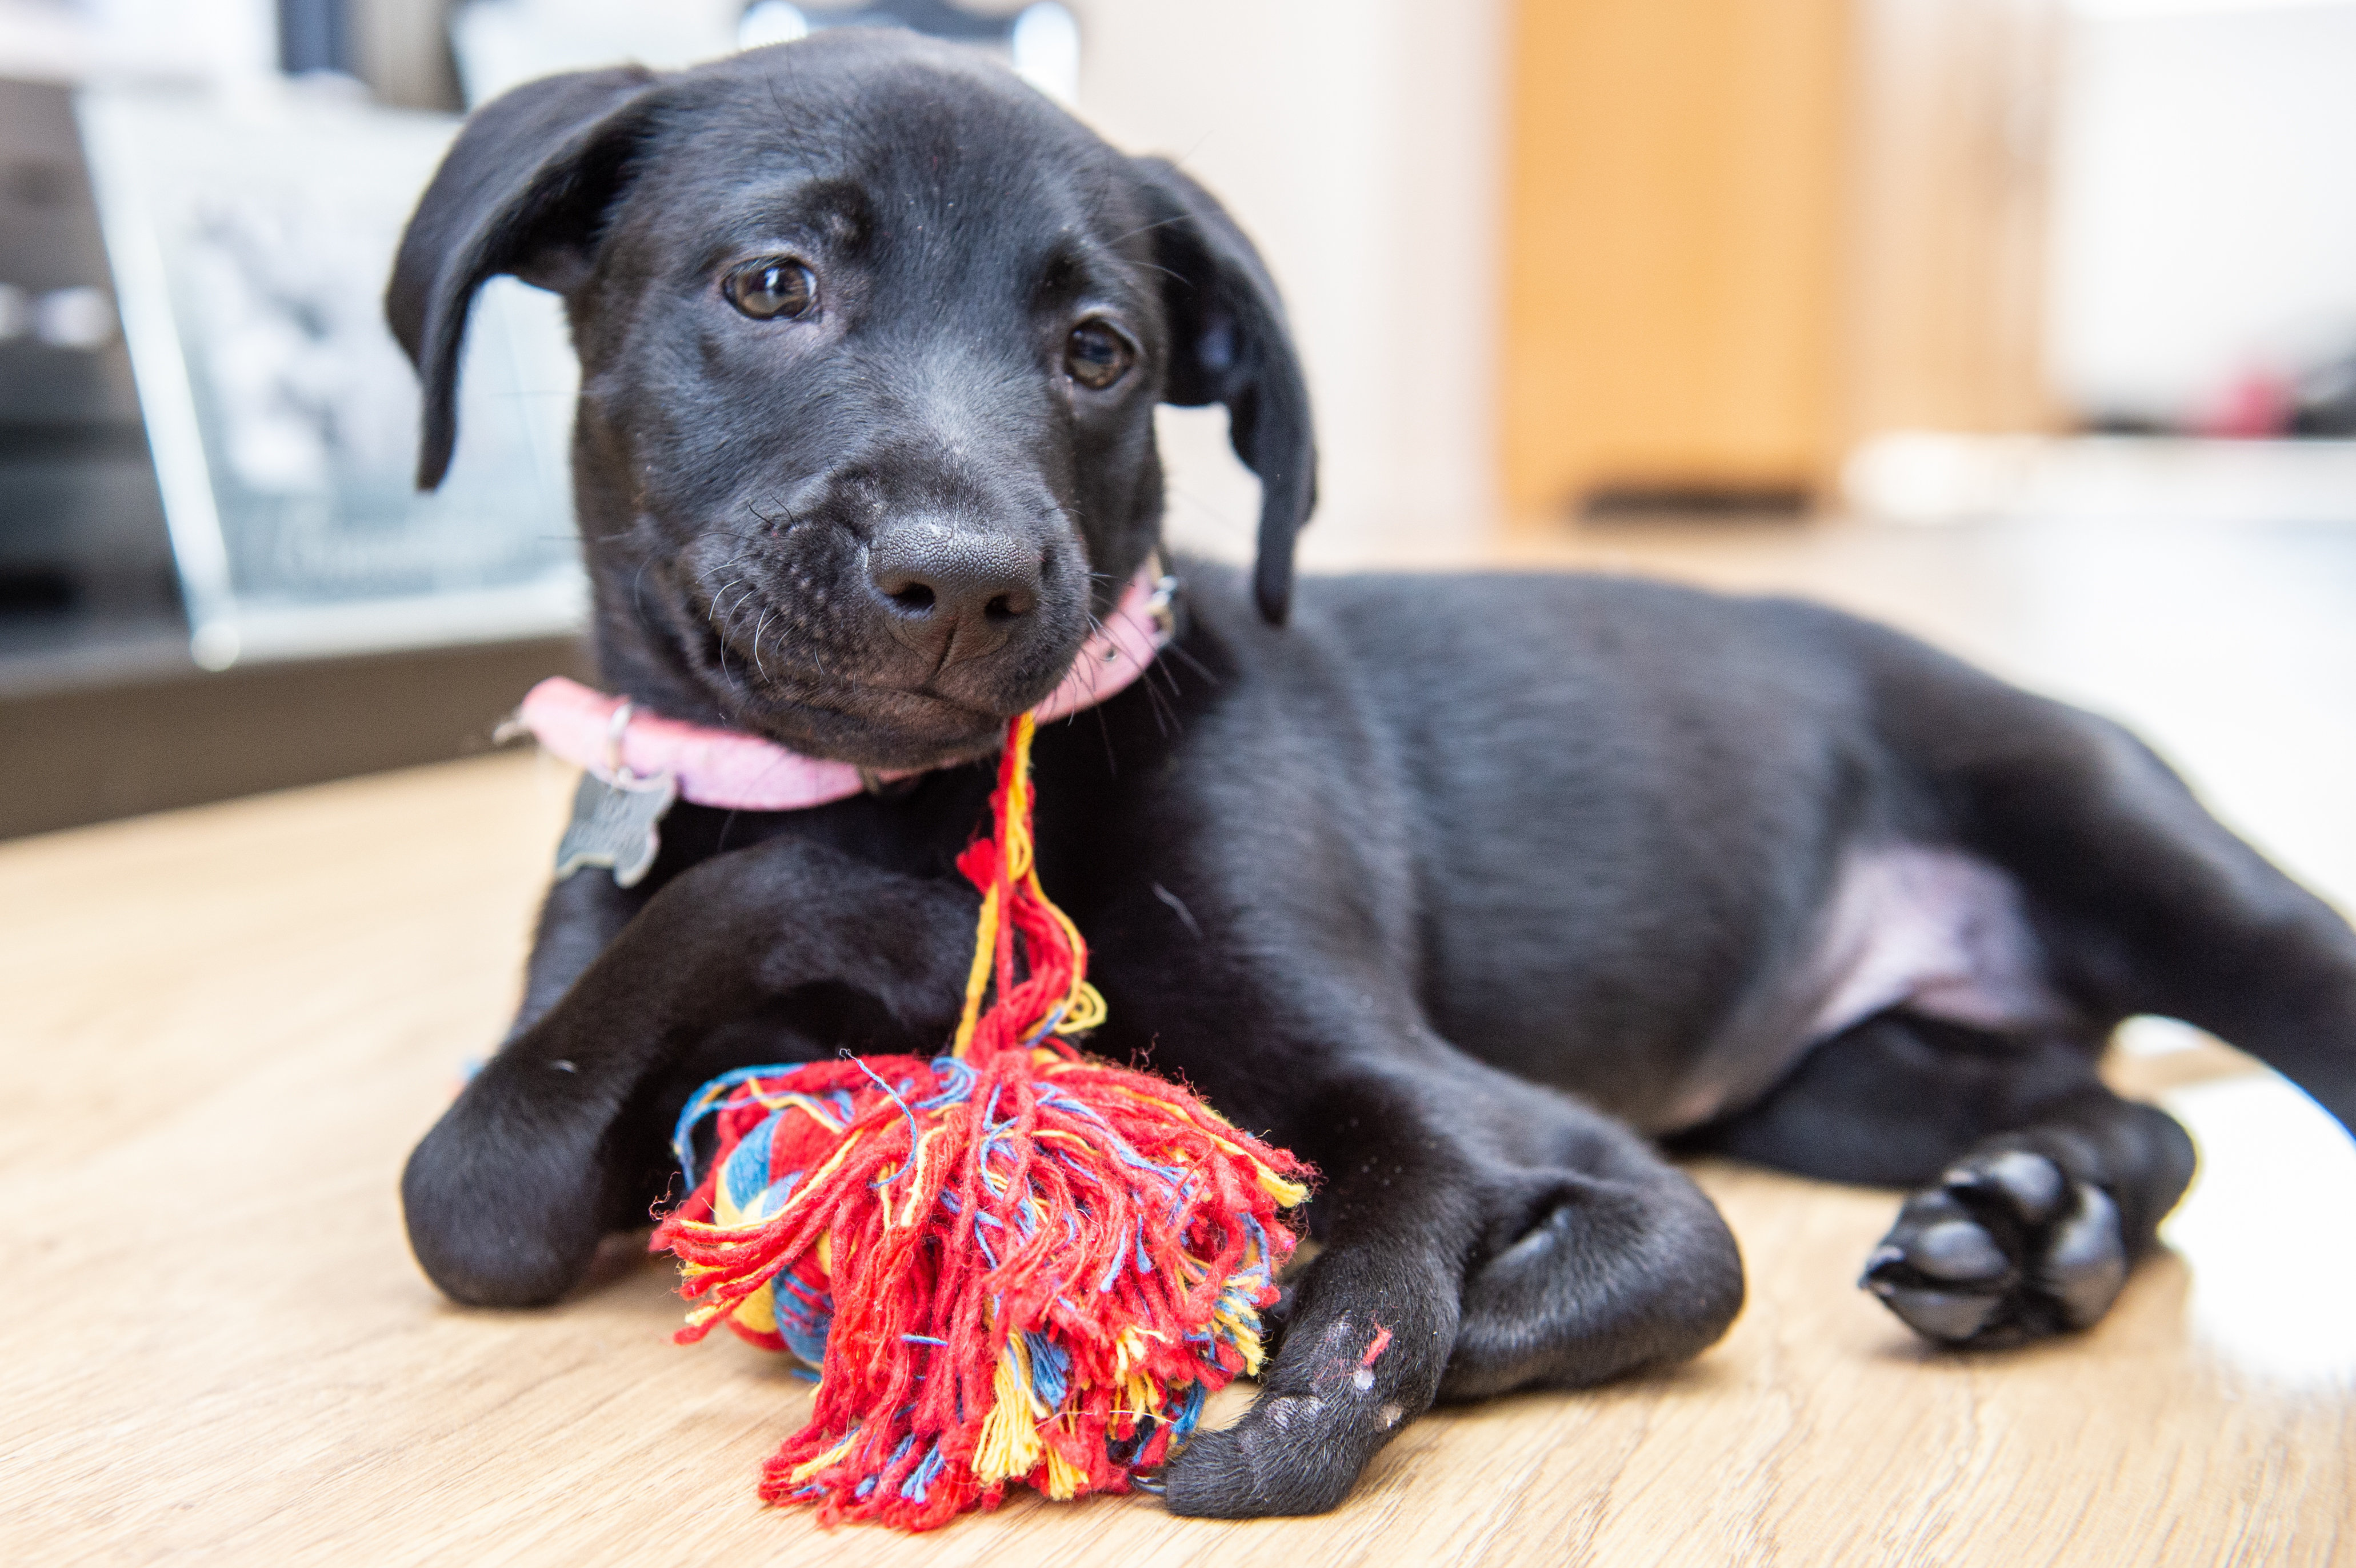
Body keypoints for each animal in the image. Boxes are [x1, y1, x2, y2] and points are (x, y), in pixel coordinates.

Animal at [391, 27, 2356, 1516]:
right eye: (773, 285)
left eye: (1097, 350)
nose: (964, 577)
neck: (914, 789)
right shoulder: (556, 1046)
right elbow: (469, 1189)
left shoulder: (1440, 1091)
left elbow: (1462, 1256)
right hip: (1836, 1085)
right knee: (2135, 1115)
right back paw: (2028, 1226)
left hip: (2133, 853)